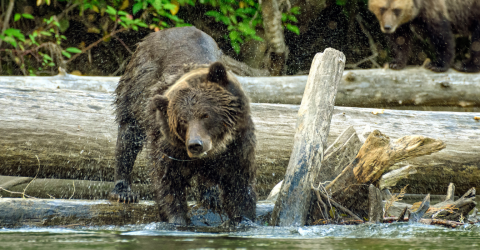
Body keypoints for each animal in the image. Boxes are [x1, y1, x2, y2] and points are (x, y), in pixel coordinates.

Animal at [110, 26, 256, 226]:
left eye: (206, 115)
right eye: (182, 121)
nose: (195, 144)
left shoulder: (238, 145)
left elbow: (239, 186)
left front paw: (244, 219)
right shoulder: (168, 145)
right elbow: (168, 181)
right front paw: (177, 219)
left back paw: (211, 196)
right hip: (139, 82)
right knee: (129, 134)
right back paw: (123, 191)